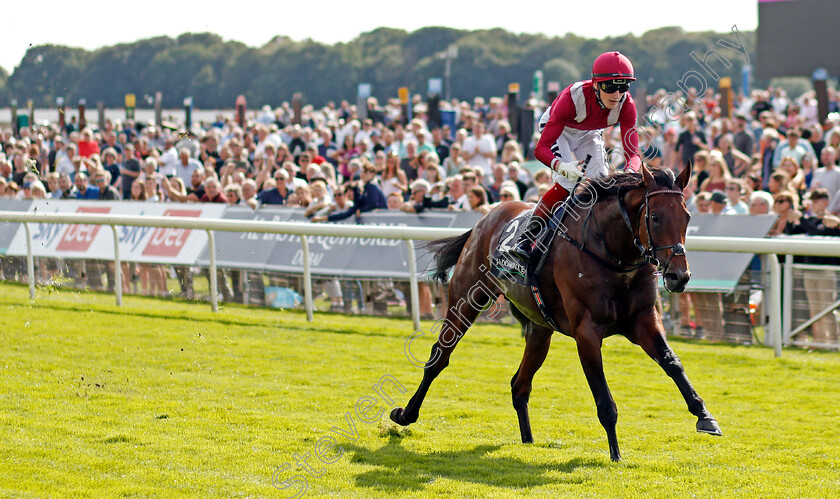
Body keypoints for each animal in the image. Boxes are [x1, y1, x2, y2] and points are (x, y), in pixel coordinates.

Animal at [390, 164, 720, 460]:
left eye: (687, 217)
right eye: (655, 216)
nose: (679, 276)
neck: (612, 253)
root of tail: (486, 218)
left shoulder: (643, 321)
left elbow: (672, 362)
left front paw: (704, 416)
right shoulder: (587, 331)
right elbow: (603, 397)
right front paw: (615, 454)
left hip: (539, 329)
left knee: (519, 384)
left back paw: (527, 440)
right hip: (467, 299)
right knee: (439, 357)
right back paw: (406, 414)